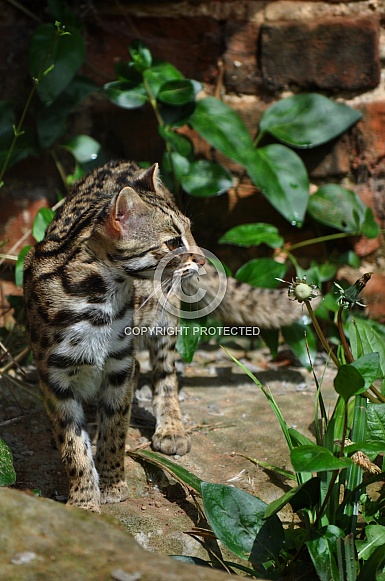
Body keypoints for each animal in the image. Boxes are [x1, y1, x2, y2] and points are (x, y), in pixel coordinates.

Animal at [23, 161, 306, 510]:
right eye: (173, 242)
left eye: (190, 230)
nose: (203, 258)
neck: (97, 298)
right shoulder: (54, 376)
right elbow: (72, 445)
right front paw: (84, 501)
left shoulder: (121, 364)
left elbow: (116, 429)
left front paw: (113, 482)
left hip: (165, 316)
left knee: (166, 373)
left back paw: (171, 427)